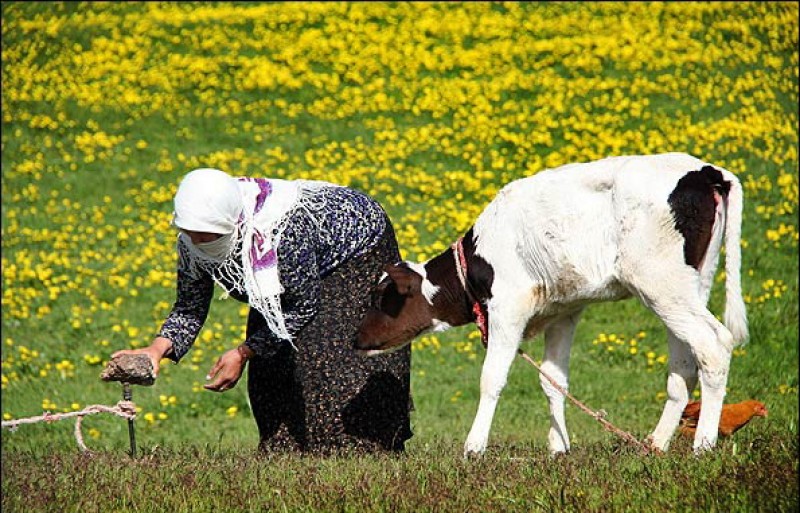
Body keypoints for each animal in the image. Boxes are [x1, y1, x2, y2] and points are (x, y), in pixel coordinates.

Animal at [356, 150, 744, 454]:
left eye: (382, 297)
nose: (356, 339)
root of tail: (706, 171)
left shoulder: (508, 307)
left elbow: (491, 377)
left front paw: (474, 447)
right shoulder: (564, 311)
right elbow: (553, 380)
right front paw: (559, 447)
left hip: (658, 281)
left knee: (713, 345)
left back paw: (703, 445)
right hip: (689, 285)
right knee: (684, 364)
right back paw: (657, 443)